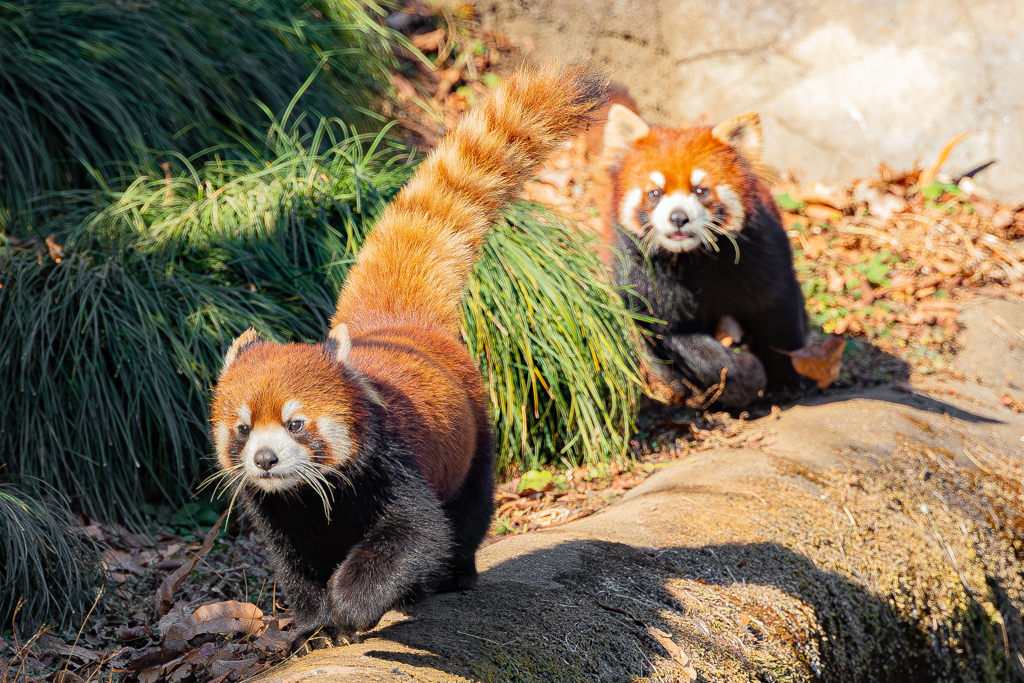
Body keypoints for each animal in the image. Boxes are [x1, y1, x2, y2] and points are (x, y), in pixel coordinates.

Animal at [208, 65, 606, 655]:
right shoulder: (279, 511)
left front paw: (350, 609)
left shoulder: (391, 463)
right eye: (241, 429)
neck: (309, 496)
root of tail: (401, 324)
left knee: (466, 515)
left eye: (296, 423)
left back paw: (451, 578)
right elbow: (298, 568)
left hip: (475, 438)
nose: (265, 459)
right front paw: (311, 627)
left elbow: (415, 535)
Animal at [598, 98, 806, 403]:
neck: (694, 258)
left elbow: (777, 312)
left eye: (700, 190)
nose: (678, 217)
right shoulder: (647, 281)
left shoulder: (761, 257)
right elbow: (682, 341)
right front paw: (743, 374)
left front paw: (787, 377)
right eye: (655, 193)